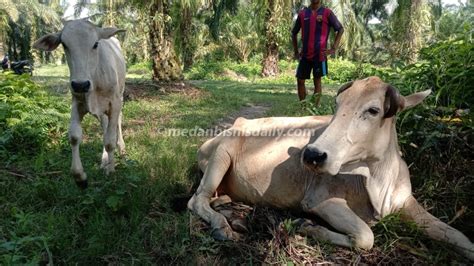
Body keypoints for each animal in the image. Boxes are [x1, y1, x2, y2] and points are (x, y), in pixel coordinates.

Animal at [33, 18, 126, 188]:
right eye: (64, 44)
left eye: (95, 44)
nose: (80, 84)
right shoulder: (77, 102)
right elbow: (75, 137)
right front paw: (80, 177)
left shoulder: (115, 103)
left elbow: (110, 140)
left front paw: (111, 169)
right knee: (104, 125)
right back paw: (104, 159)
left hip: (121, 95)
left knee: (117, 123)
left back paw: (120, 148)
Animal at [188, 76, 474, 260]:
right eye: (338, 105)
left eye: (373, 110)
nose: (312, 154)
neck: (378, 180)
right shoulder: (320, 201)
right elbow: (366, 236)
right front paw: (307, 226)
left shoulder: (406, 201)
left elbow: (458, 235)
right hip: (221, 155)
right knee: (197, 200)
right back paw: (222, 226)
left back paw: (230, 211)